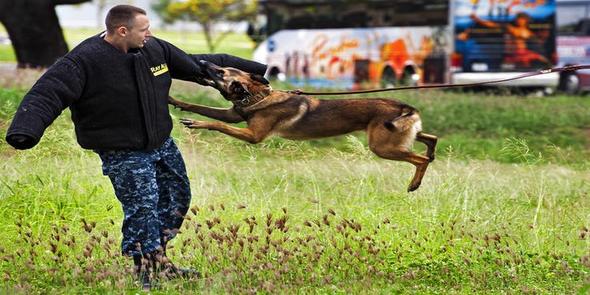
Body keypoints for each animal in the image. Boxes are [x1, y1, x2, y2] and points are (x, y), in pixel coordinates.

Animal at [169, 61, 438, 193]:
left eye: (221, 71)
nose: (202, 60)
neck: (257, 96)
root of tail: (404, 106)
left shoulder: (253, 135)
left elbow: (215, 122)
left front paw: (196, 123)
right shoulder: (233, 116)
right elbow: (198, 106)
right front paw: (174, 101)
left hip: (382, 146)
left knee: (420, 160)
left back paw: (415, 183)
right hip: (397, 138)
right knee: (430, 138)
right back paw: (432, 152)